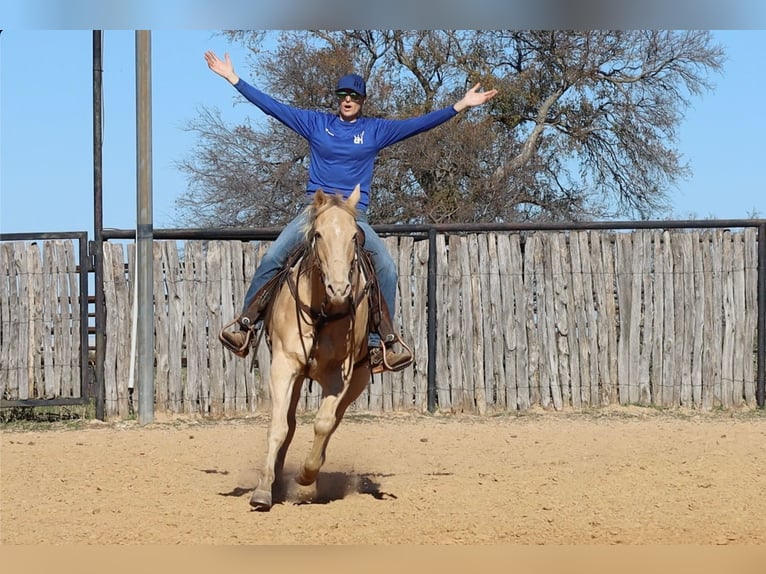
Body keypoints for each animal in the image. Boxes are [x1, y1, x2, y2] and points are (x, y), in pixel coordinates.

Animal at [249, 184, 372, 511]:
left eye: (354, 236)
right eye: (318, 234)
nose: (339, 290)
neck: (323, 311)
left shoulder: (341, 375)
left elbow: (323, 424)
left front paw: (306, 477)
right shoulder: (283, 365)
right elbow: (279, 426)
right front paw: (263, 490)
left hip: (359, 379)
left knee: (332, 422)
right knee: (290, 423)